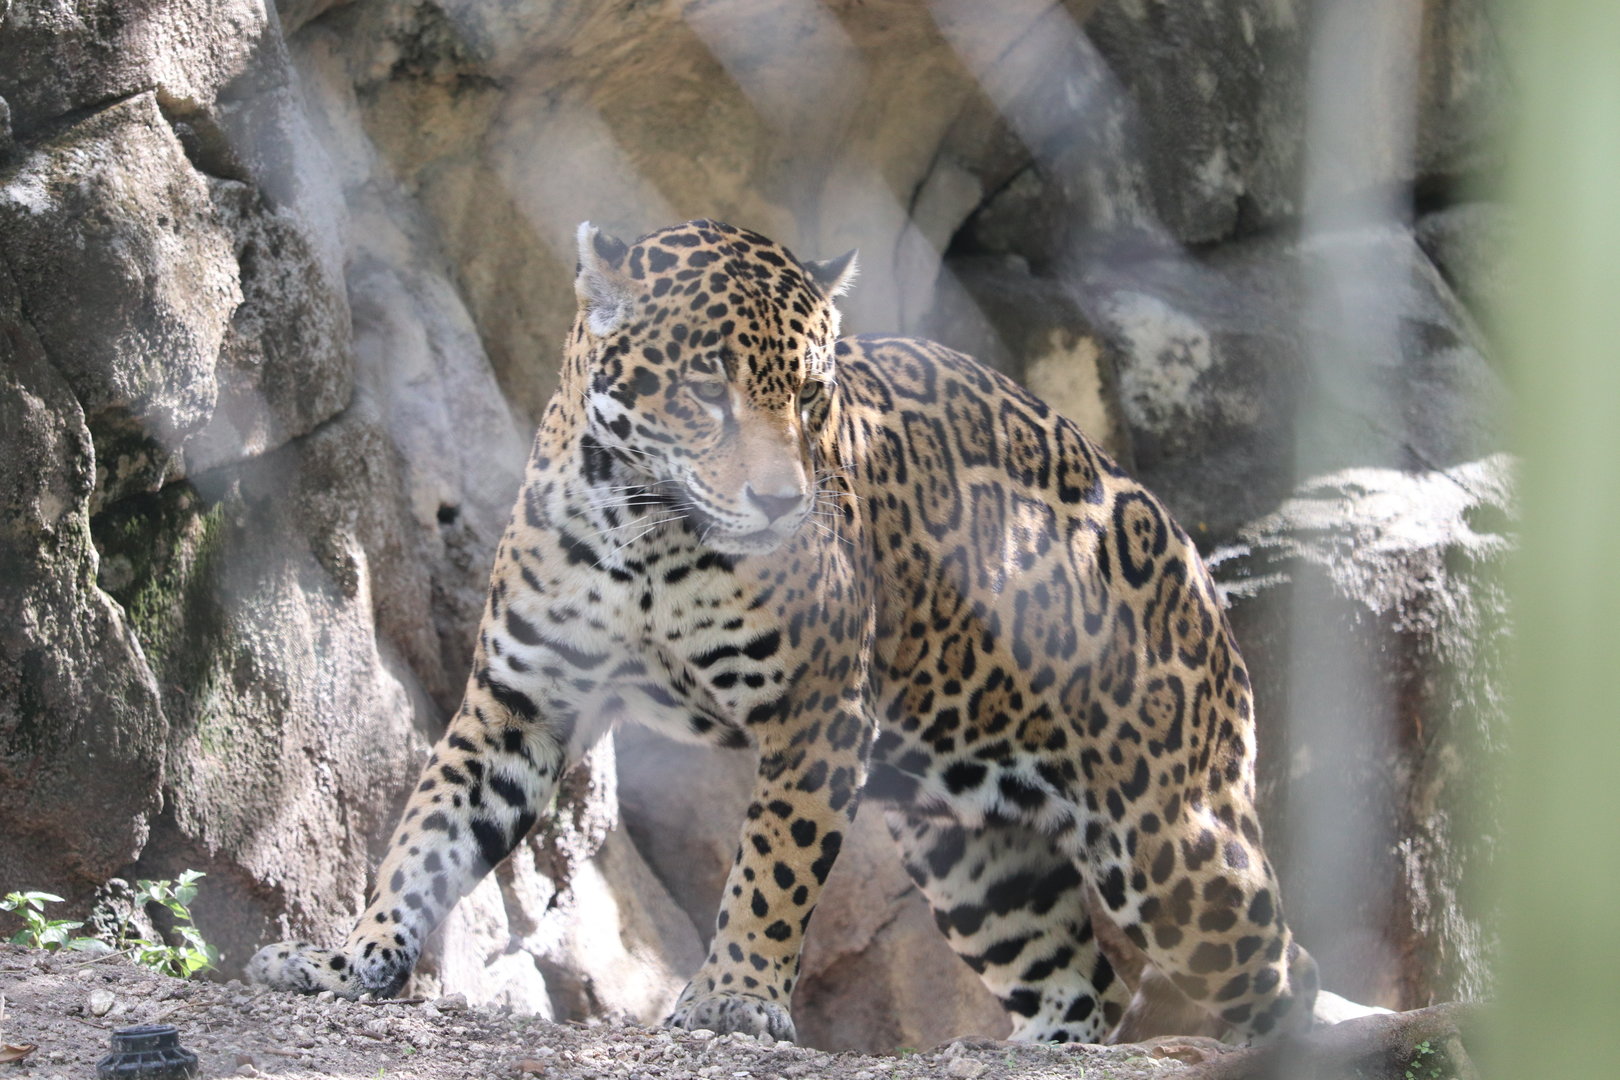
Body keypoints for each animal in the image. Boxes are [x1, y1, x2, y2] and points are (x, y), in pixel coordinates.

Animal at [248, 218, 1318, 1046]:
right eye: (705, 391)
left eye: (809, 396)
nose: (781, 501)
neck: (645, 533)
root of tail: (1193, 562)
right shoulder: (516, 706)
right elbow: (424, 836)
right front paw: (351, 956)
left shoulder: (819, 713)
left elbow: (771, 869)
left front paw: (732, 999)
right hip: (977, 861)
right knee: (1079, 983)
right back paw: (1041, 1050)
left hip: (1168, 843)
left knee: (1282, 965)